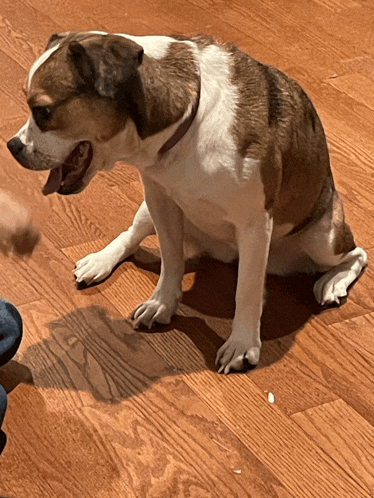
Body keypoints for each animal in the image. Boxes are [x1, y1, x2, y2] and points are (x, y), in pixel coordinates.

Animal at [7, 32, 366, 374]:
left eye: (42, 111)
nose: (12, 146)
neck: (187, 125)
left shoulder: (253, 225)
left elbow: (247, 289)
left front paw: (242, 344)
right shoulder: (160, 200)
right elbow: (171, 261)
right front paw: (162, 304)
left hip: (323, 239)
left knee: (356, 254)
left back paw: (332, 282)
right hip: (147, 209)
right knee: (130, 235)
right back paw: (100, 261)